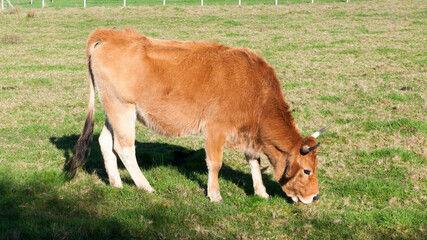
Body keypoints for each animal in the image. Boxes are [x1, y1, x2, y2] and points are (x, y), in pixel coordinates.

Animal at [70, 28, 332, 204]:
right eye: (307, 170)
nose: (316, 197)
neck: (255, 89)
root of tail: (112, 34)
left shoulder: (248, 133)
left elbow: (254, 161)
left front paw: (261, 192)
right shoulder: (215, 129)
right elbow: (215, 163)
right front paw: (214, 195)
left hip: (115, 111)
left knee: (105, 141)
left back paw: (116, 183)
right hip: (122, 109)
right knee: (124, 148)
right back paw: (145, 186)